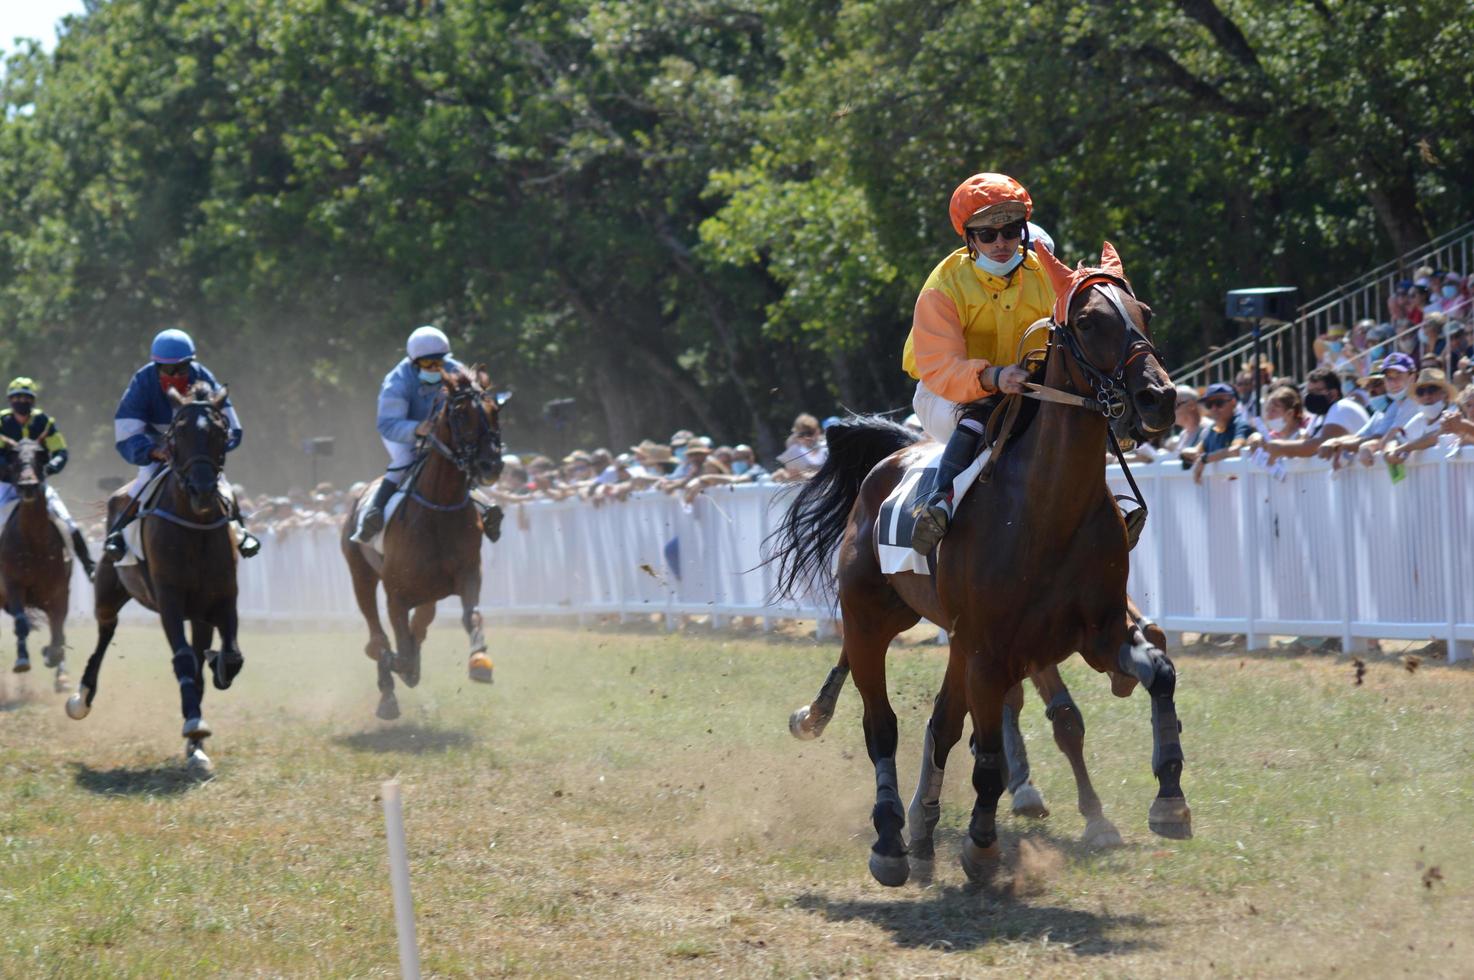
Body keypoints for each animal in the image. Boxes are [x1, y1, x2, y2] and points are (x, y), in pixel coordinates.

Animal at [0, 436, 72, 686]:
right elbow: (21, 623)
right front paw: (22, 660)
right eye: (13, 459)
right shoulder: (13, 585)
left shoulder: (59, 592)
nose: (28, 485)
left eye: (41, 457)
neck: (34, 545)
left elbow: (58, 631)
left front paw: (55, 661)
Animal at [67, 383, 241, 772]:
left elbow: (231, 656)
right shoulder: (169, 599)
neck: (195, 527)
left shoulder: (222, 597)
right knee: (104, 635)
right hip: (108, 593)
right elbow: (183, 658)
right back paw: (81, 698)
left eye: (220, 432)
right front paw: (194, 724)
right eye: (178, 433)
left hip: (198, 613)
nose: (202, 489)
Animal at [340, 365, 507, 719]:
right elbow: (396, 649)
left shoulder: (468, 573)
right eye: (460, 413)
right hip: (360, 573)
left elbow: (471, 615)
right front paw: (393, 671)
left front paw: (479, 662)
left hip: (429, 590)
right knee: (376, 627)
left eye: (494, 410)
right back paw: (387, 687)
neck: (438, 510)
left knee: (421, 622)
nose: (490, 465)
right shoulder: (396, 594)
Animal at [766, 240, 1179, 884]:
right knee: (883, 725)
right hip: (870, 622)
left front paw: (1167, 799)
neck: (1045, 508)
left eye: (1146, 313)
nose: (1158, 398)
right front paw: (982, 843)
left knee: (941, 723)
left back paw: (917, 827)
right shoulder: (991, 644)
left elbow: (1155, 672)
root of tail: (892, 456)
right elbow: (985, 750)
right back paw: (891, 839)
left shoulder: (1096, 628)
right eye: (1088, 322)